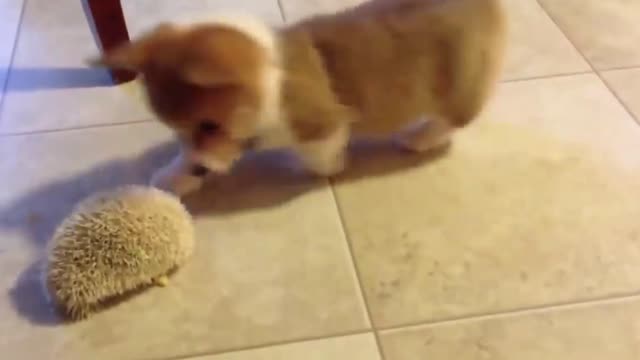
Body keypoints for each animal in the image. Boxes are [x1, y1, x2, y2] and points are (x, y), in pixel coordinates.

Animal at [95, 0, 508, 195]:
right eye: (177, 129)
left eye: (210, 125)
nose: (199, 169)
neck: (269, 79)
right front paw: (174, 175)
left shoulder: (322, 122)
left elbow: (317, 155)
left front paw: (330, 164)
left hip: (457, 82)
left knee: (455, 117)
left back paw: (418, 138)